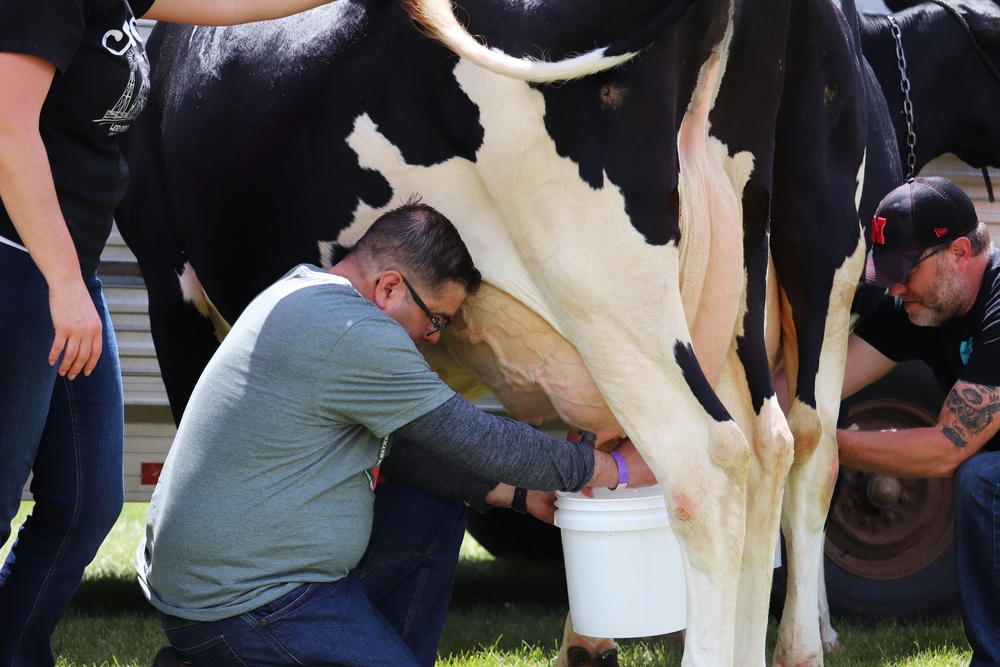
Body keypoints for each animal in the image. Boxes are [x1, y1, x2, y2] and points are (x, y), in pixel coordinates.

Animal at [113, 0, 888, 664]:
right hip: (794, 261)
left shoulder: (170, 280)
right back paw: (788, 648)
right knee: (791, 446)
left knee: (709, 467)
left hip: (603, 274)